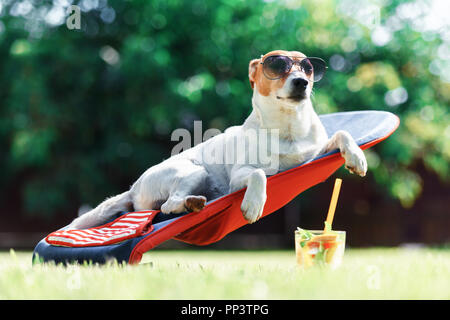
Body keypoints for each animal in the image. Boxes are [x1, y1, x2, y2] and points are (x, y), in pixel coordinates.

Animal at [68, 49, 368, 230]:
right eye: (277, 65)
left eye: (307, 68)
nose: (301, 83)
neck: (287, 128)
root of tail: (133, 188)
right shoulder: (239, 177)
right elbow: (259, 173)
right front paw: (253, 204)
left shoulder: (313, 153)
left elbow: (342, 133)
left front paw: (356, 157)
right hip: (193, 171)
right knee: (168, 205)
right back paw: (192, 203)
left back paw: (194, 203)